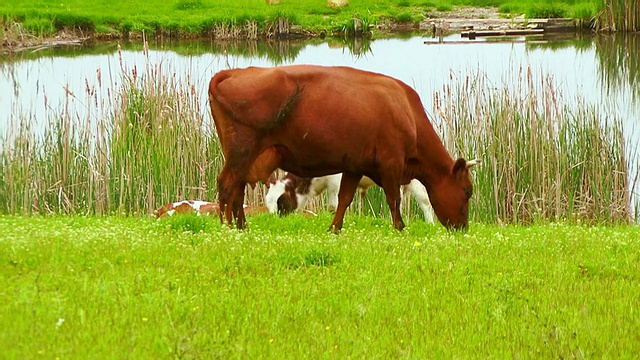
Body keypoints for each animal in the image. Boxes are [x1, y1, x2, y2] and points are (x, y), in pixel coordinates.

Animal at [264, 172, 436, 222]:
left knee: (422, 201)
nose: (273, 219)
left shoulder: (336, 181)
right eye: (268, 203)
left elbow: (334, 206)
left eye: (282, 201)